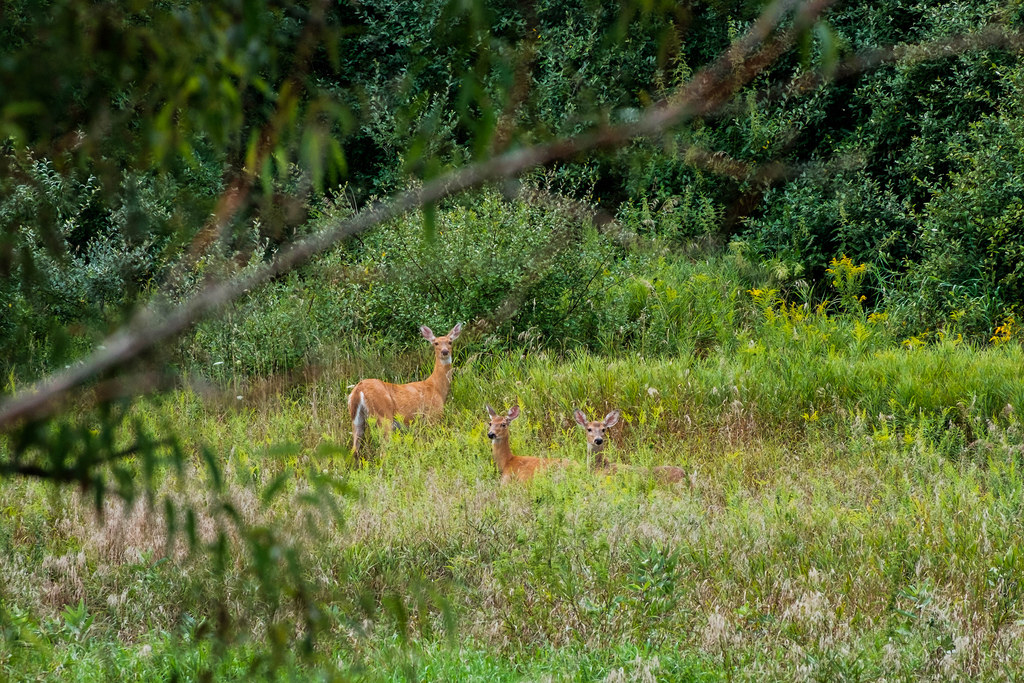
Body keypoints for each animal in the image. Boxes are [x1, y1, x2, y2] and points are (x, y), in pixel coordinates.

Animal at [352, 321, 464, 458]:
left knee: (354, 450)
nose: (445, 351)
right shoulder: (433, 415)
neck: (436, 388)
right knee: (383, 450)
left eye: (450, 341)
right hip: (383, 416)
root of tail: (359, 389)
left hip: (356, 420)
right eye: (436, 343)